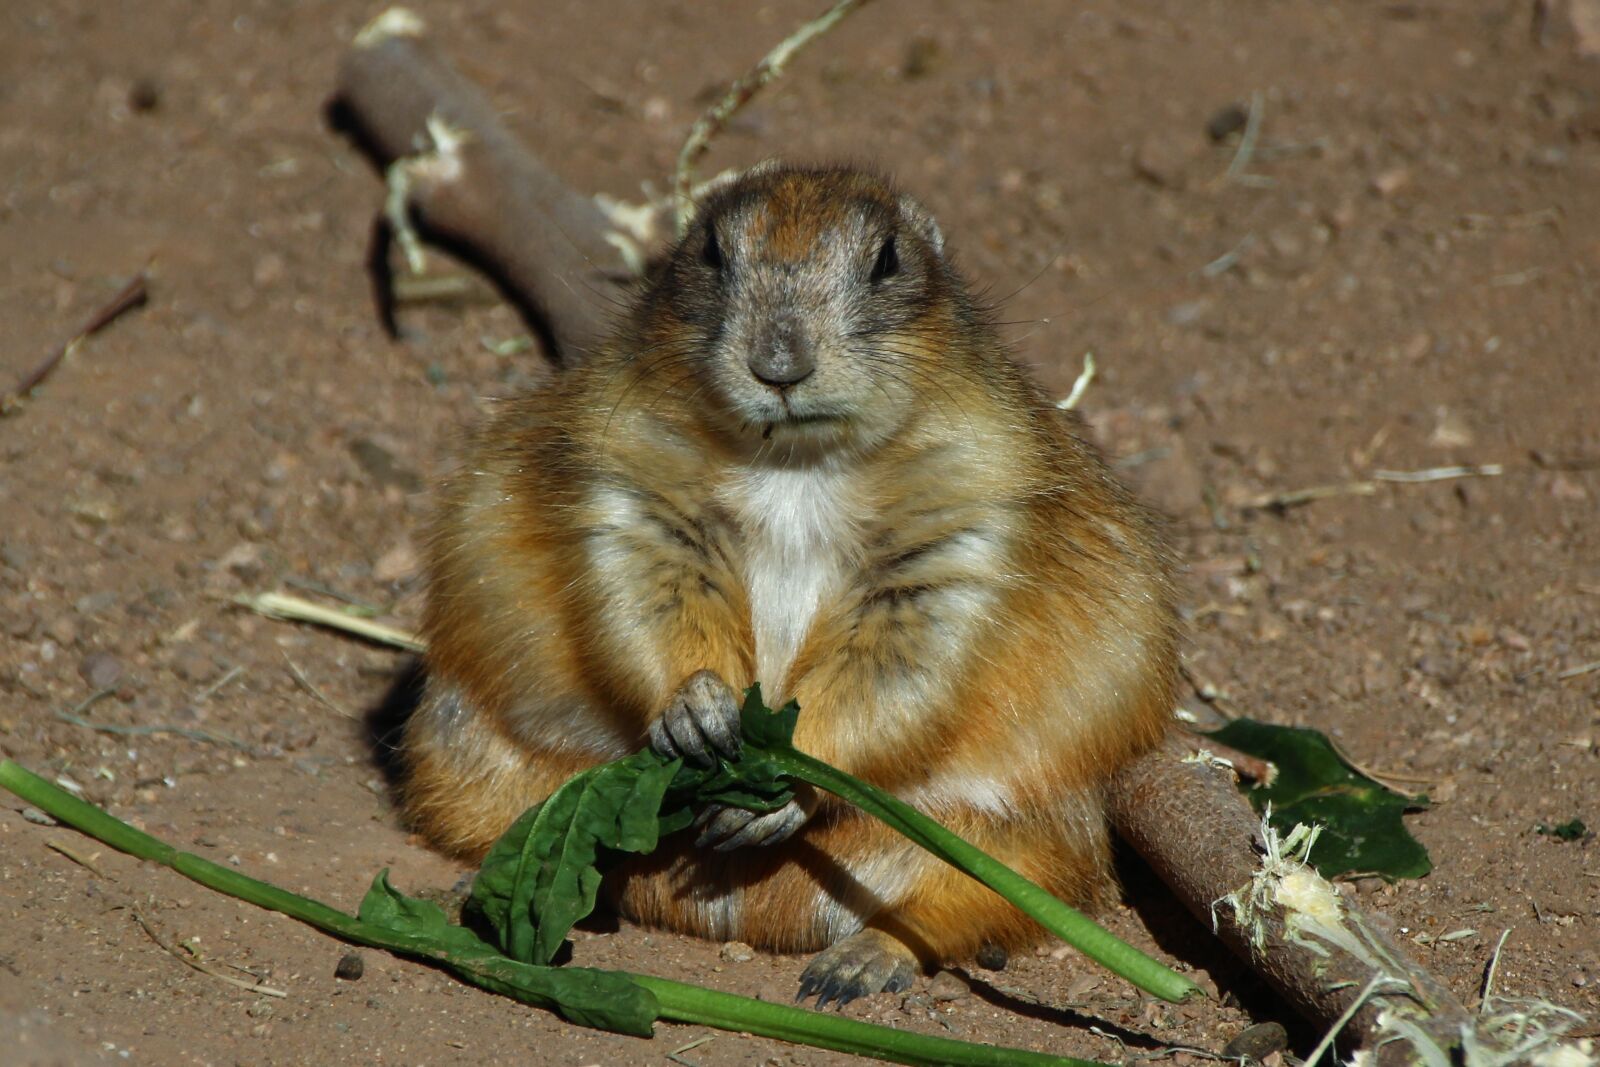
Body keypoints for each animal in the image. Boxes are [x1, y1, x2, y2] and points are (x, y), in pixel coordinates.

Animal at [400, 162, 1179, 1007]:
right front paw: (696, 714)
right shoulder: (631, 482)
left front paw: (788, 780)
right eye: (709, 251)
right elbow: (639, 596)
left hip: (1033, 840)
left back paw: (852, 965)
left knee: (961, 908)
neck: (794, 466)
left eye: (888, 260)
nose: (778, 365)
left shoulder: (967, 525)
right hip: (474, 758)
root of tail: (745, 914)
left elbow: (907, 669)